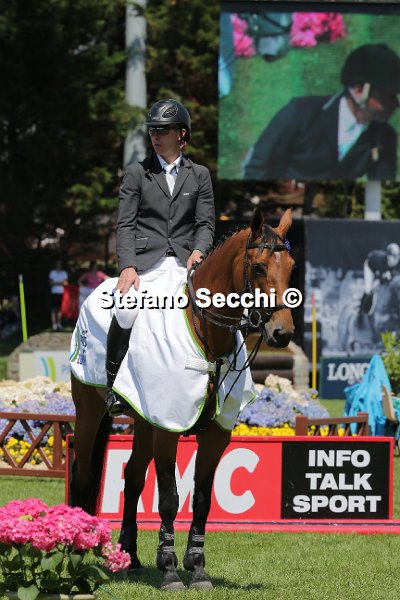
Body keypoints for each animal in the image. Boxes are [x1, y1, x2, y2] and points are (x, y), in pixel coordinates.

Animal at [70, 207, 295, 591]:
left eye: (291, 266)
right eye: (259, 267)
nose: (282, 333)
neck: (208, 336)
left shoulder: (216, 433)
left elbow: (201, 500)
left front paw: (198, 568)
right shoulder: (168, 426)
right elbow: (170, 498)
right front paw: (170, 569)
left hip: (145, 418)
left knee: (132, 477)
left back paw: (130, 559)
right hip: (90, 408)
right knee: (83, 471)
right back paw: (75, 551)